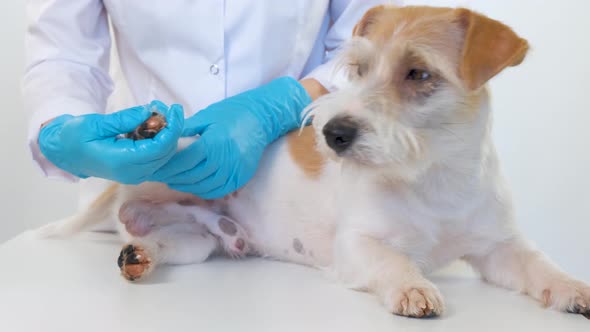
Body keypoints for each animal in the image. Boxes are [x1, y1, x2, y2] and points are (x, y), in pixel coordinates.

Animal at [39, 4, 588, 316]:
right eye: (358, 68)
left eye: (418, 73)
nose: (333, 133)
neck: (433, 179)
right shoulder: (358, 245)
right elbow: (393, 260)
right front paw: (413, 286)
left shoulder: (499, 248)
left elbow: (539, 265)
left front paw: (571, 287)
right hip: (177, 166)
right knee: (166, 160)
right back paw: (145, 132)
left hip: (196, 242)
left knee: (163, 243)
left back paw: (141, 255)